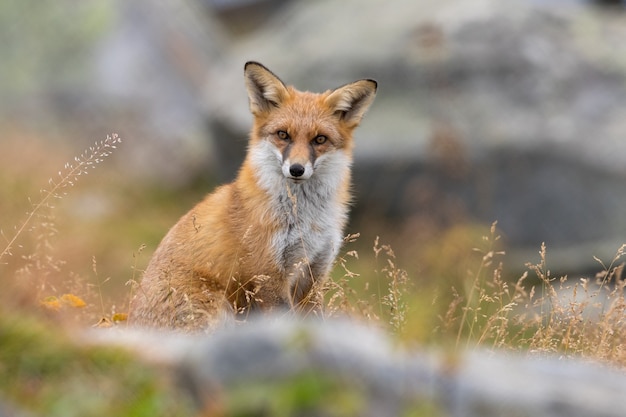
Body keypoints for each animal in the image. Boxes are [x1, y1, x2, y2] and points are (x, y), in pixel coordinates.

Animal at [128, 61, 376, 330]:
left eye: (319, 139)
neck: (306, 220)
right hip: (215, 307)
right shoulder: (268, 274)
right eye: (283, 135)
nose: (296, 169)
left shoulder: (313, 274)